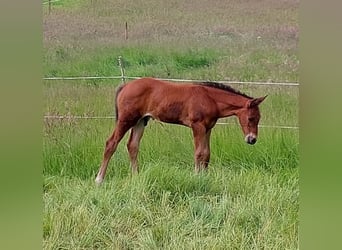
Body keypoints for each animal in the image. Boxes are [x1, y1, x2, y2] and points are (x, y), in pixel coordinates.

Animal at [95, 76, 268, 184]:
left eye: (259, 118)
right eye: (251, 118)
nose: (252, 139)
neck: (210, 99)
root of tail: (125, 86)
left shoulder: (208, 128)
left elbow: (207, 154)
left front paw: (205, 177)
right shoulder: (197, 126)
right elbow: (199, 153)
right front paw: (197, 177)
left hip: (140, 121)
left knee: (132, 146)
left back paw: (136, 176)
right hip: (126, 119)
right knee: (111, 143)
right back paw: (99, 179)